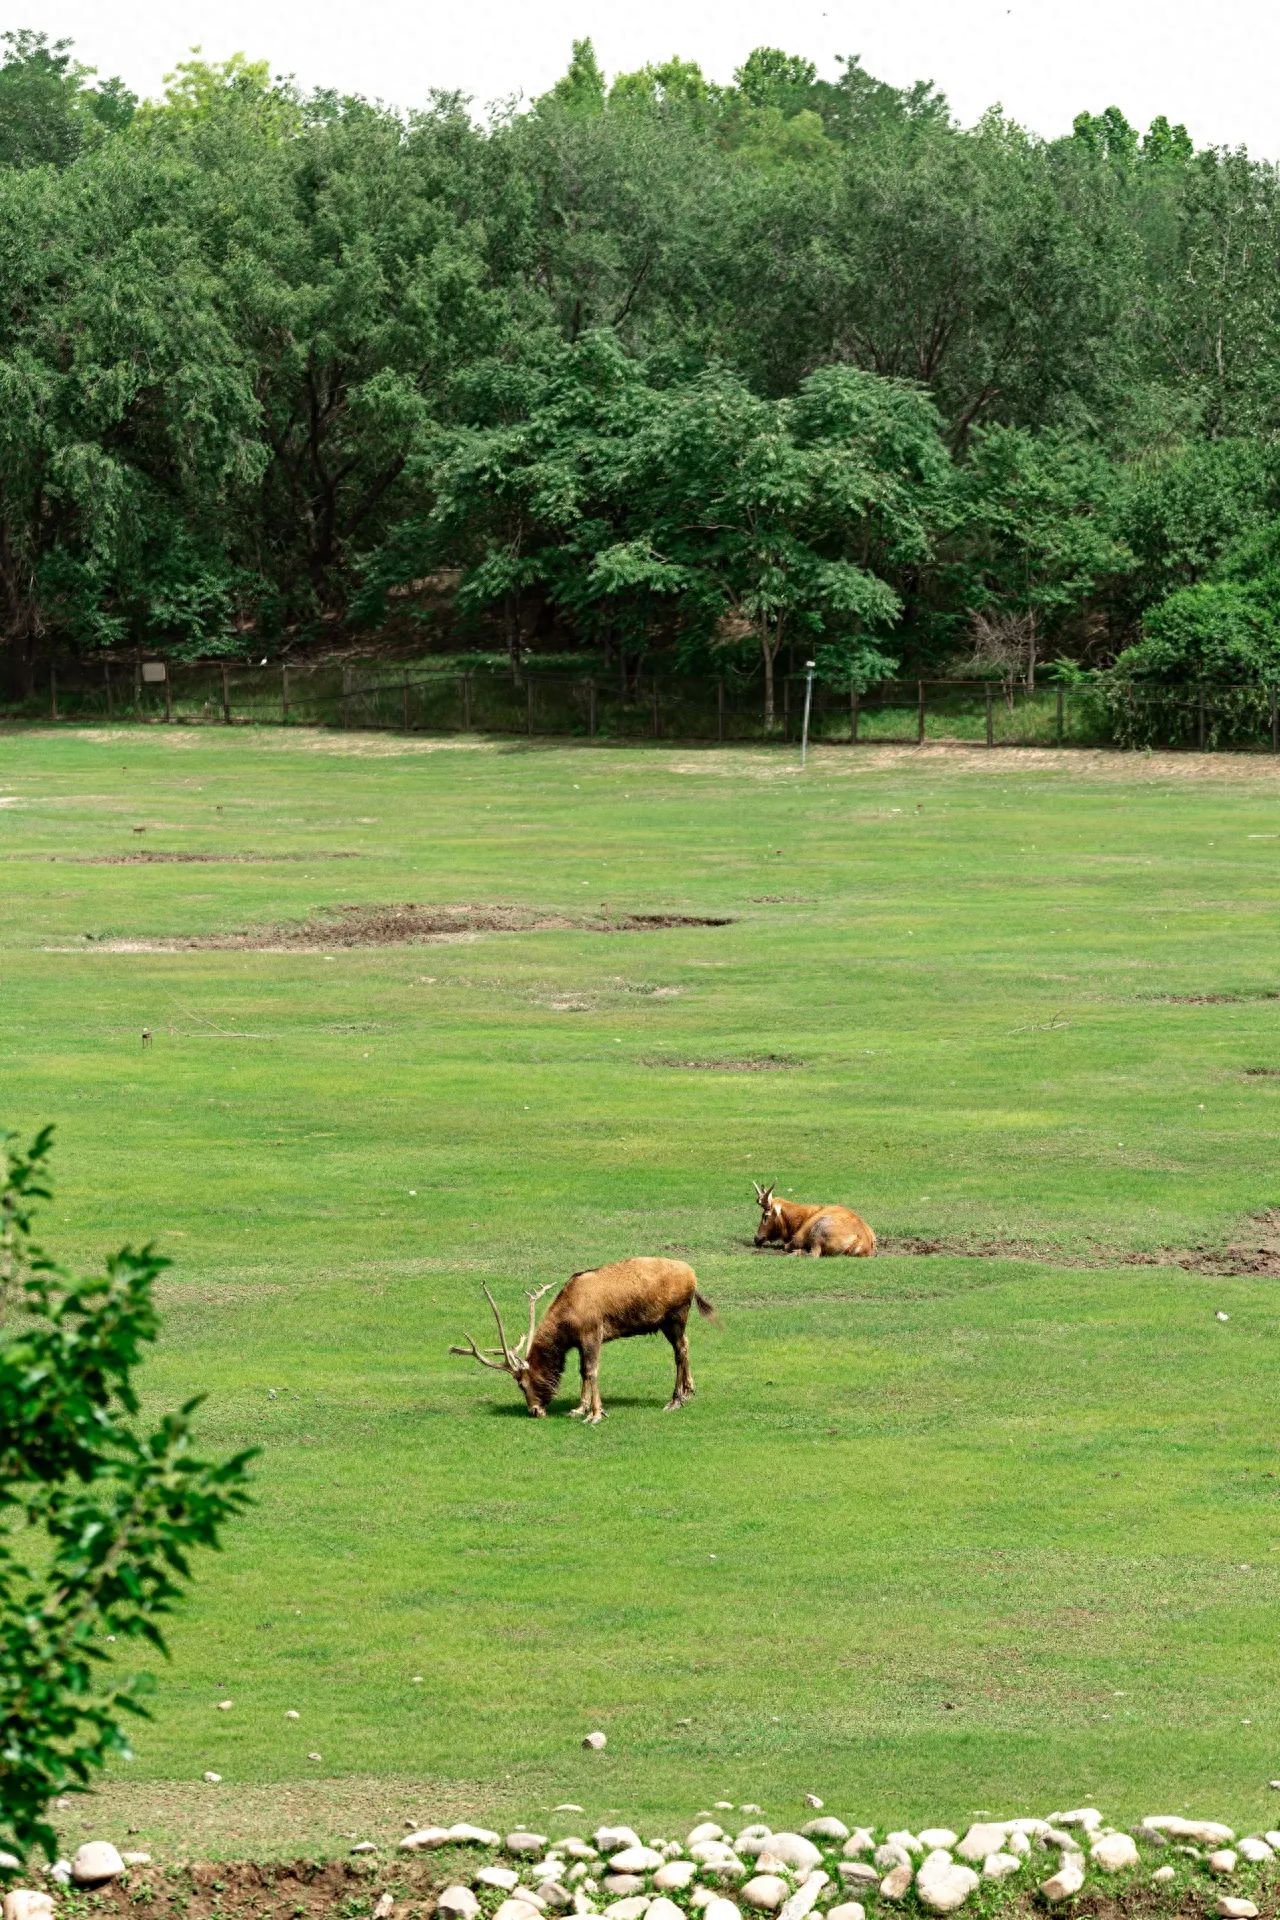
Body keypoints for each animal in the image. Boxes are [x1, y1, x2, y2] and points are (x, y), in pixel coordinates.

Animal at [450, 1257, 715, 1423]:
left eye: (522, 1384)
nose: (534, 1411)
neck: (568, 1317)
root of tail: (693, 1276)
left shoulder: (592, 1333)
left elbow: (591, 1370)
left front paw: (596, 1414)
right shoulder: (578, 1341)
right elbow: (581, 1371)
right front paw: (579, 1408)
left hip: (676, 1315)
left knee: (679, 1351)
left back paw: (675, 1400)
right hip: (668, 1323)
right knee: (686, 1344)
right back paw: (689, 1390)